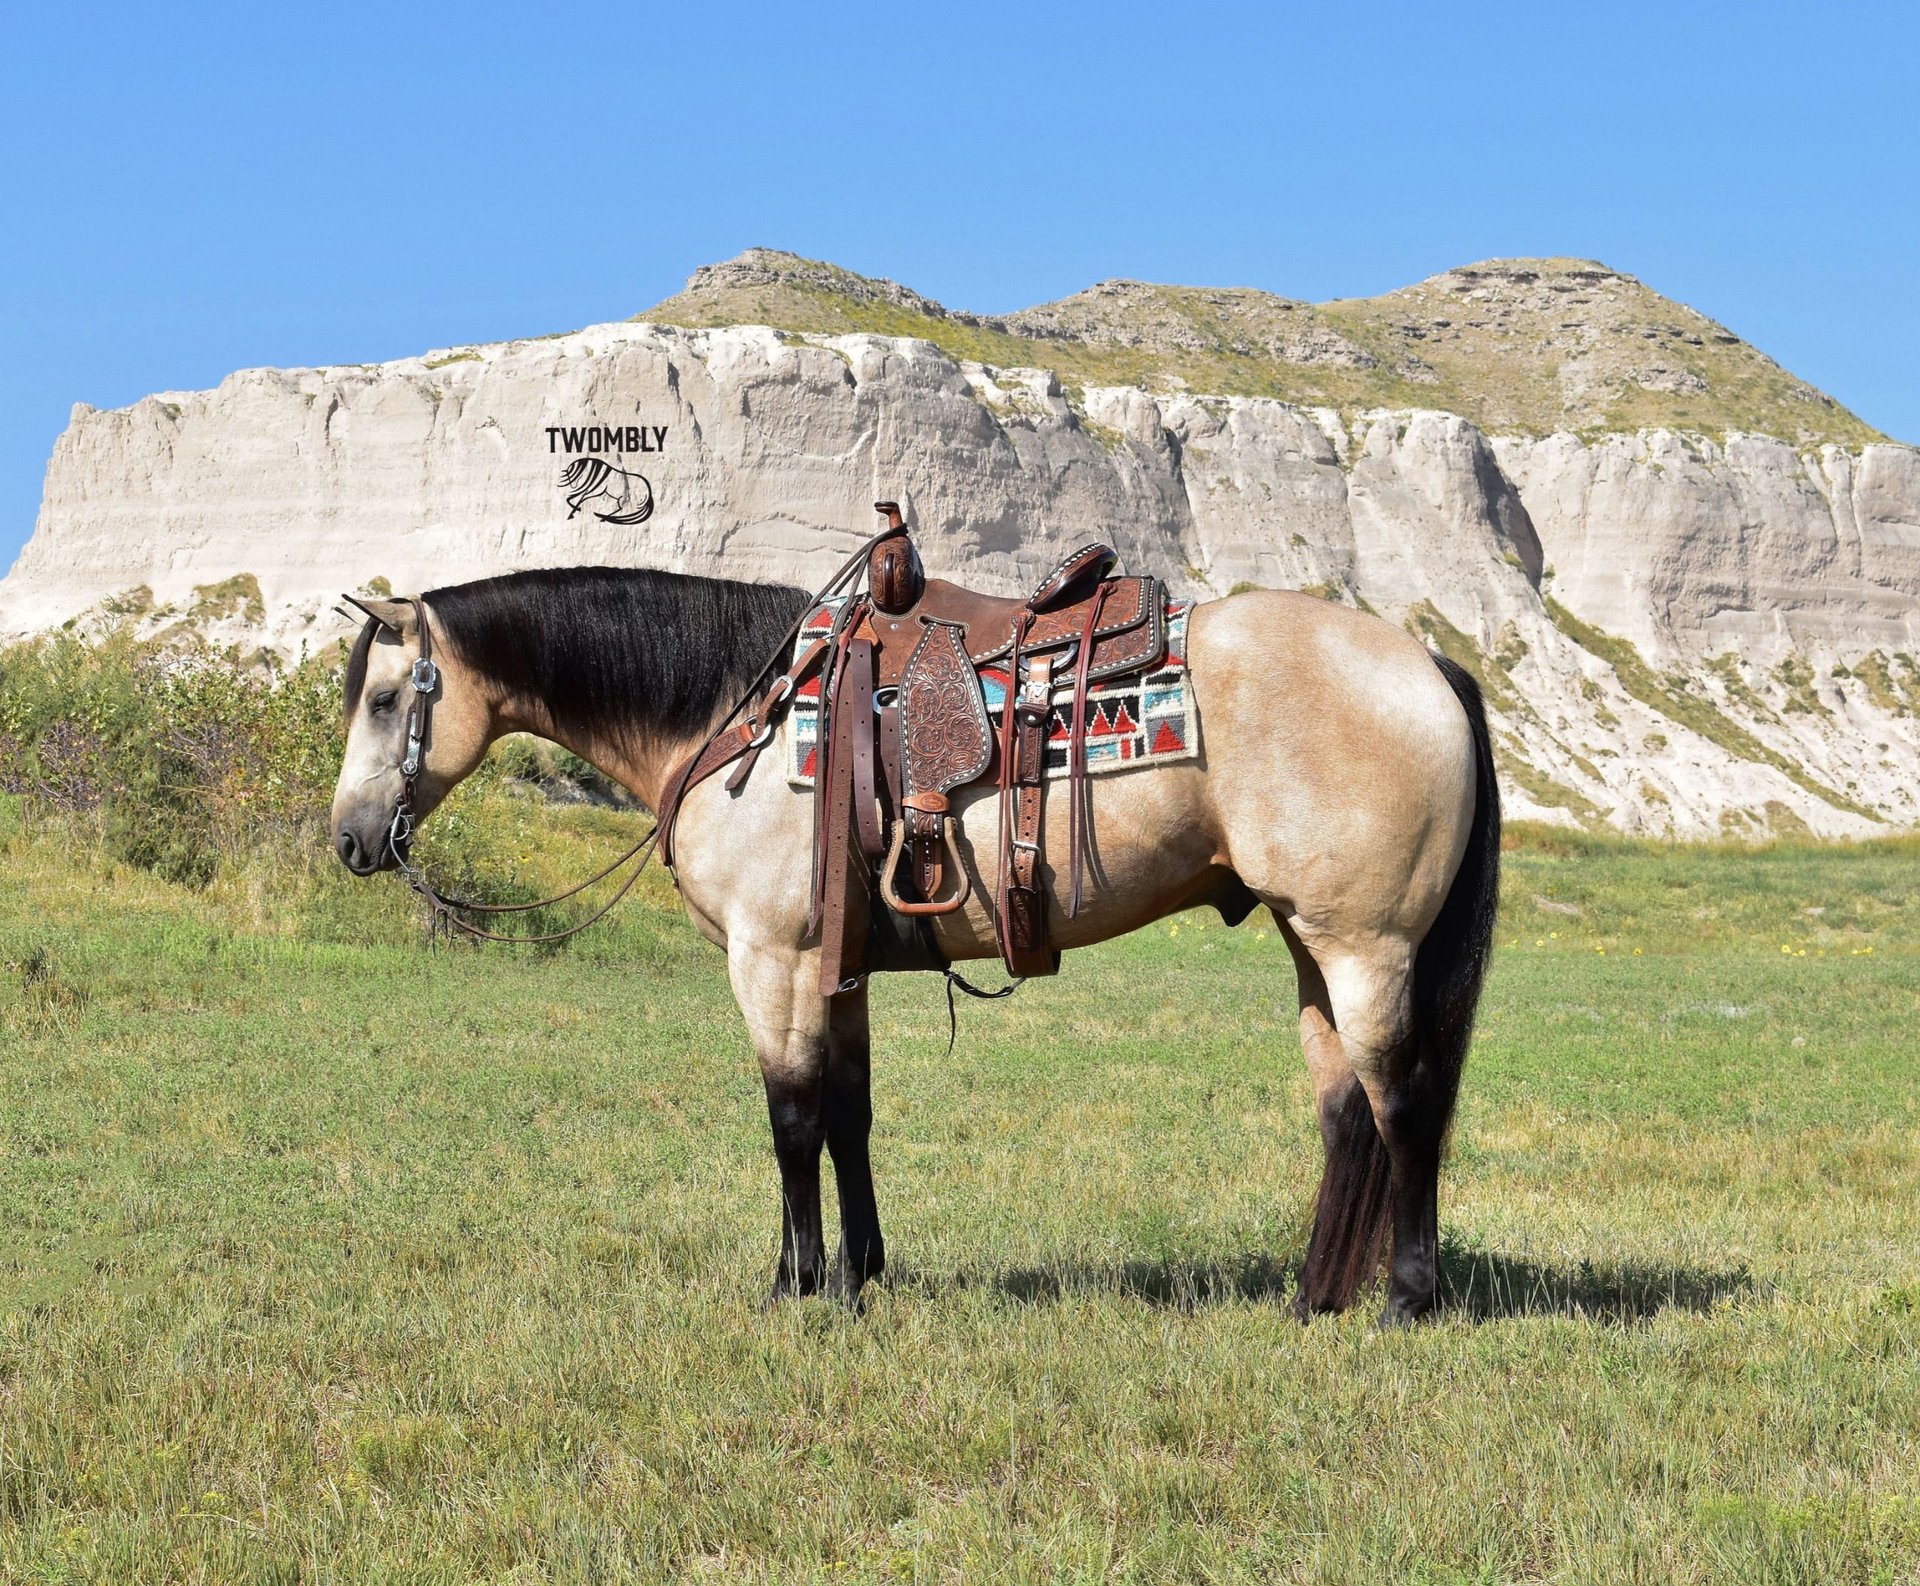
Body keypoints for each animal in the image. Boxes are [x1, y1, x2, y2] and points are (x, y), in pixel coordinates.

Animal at [328, 563, 1499, 1324]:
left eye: (386, 697)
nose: (350, 840)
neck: (736, 719)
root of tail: (1427, 664)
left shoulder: (772, 962)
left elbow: (792, 1119)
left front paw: (795, 1287)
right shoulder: (833, 969)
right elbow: (849, 1116)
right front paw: (861, 1276)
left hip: (1365, 946)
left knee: (1405, 1103)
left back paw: (1405, 1301)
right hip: (1312, 945)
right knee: (1347, 1113)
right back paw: (1311, 1300)